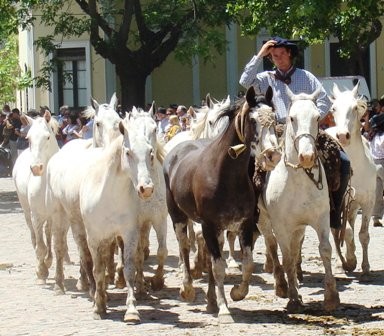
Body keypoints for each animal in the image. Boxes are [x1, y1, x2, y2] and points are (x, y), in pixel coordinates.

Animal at [12, 112, 60, 284]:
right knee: (34, 235)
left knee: (48, 233)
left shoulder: (55, 215)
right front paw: (41, 271)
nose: (36, 168)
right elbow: (40, 246)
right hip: (27, 211)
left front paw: (47, 262)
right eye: (29, 138)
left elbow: (51, 240)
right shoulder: (36, 215)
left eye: (47, 137)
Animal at [79, 109, 164, 322]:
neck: (109, 196)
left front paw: (132, 310)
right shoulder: (94, 237)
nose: (146, 188)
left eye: (150, 153)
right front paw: (98, 306)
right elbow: (97, 269)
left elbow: (130, 267)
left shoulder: (130, 233)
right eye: (128, 152)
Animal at [164, 86, 278, 322]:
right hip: (177, 216)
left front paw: (236, 293)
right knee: (184, 246)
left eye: (275, 117)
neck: (225, 174)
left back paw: (210, 300)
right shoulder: (208, 224)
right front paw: (224, 308)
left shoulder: (245, 224)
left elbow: (247, 264)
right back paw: (187, 288)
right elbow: (217, 267)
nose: (272, 155)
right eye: (252, 119)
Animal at [260, 87, 340, 312]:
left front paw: (331, 296)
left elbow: (325, 250)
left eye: (317, 117)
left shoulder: (320, 219)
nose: (306, 156)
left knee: (295, 249)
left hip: (299, 227)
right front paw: (293, 299)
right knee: (271, 245)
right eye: (292, 118)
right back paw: (282, 285)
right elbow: (286, 257)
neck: (299, 181)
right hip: (264, 221)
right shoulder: (281, 226)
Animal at [326, 82, 376, 276]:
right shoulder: (339, 202)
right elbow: (345, 231)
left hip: (353, 206)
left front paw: (366, 267)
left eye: (355, 108)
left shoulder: (368, 202)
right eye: (333, 108)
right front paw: (351, 260)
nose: (342, 136)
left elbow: (363, 234)